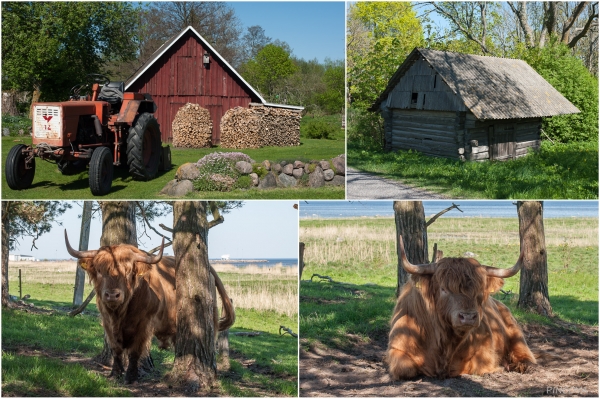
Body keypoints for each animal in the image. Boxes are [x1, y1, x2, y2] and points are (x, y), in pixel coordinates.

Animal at [65, 231, 234, 384]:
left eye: (128, 272)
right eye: (99, 271)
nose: (112, 295)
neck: (120, 314)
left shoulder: (144, 324)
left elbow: (134, 351)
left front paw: (130, 377)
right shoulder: (107, 322)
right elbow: (116, 349)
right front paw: (115, 374)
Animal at [390, 238, 536, 382]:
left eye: (480, 290)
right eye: (443, 289)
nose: (468, 317)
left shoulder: (484, 351)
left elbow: (474, 366)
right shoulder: (397, 348)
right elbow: (405, 368)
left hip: (516, 333)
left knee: (524, 353)